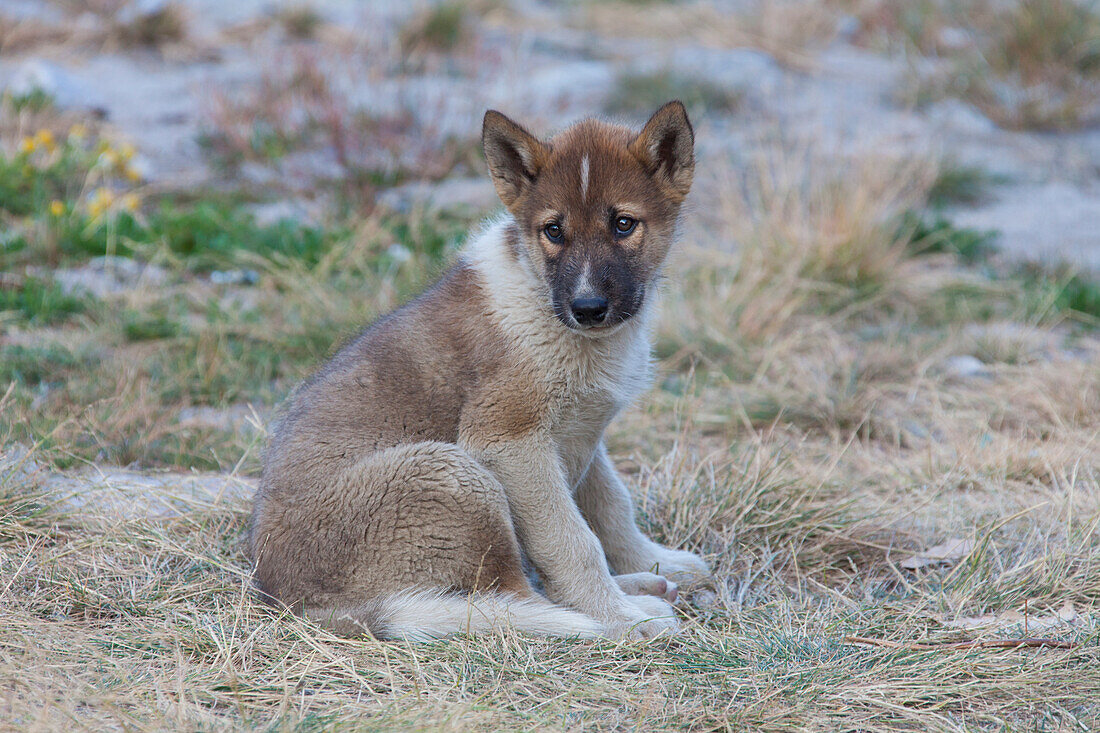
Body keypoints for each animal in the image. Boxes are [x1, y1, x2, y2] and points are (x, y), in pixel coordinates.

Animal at [249, 100, 708, 638]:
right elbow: (572, 541)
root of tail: (290, 604)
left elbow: (610, 508)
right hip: (454, 475)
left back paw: (646, 584)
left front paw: (654, 561)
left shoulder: (582, 434)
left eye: (623, 224)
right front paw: (616, 617)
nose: (587, 307)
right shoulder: (509, 440)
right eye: (554, 230)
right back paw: (629, 612)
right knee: (511, 596)